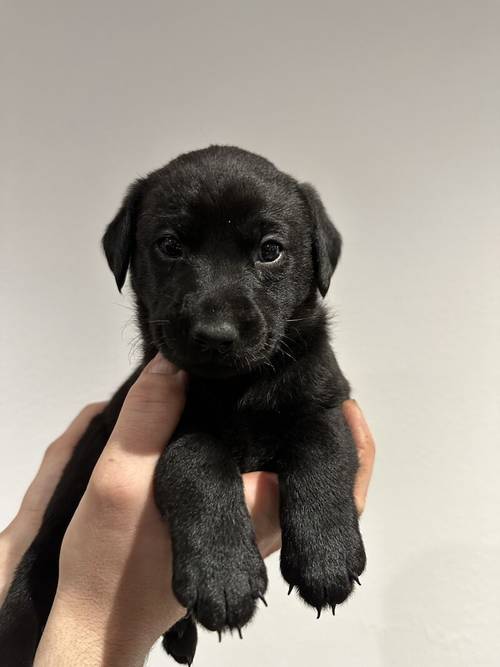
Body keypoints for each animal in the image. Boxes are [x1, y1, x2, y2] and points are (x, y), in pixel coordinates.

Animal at [0, 145, 368, 664]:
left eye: (270, 250)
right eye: (170, 245)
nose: (215, 335)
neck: (237, 387)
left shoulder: (326, 402)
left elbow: (322, 450)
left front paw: (326, 557)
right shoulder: (168, 429)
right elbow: (199, 458)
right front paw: (224, 576)